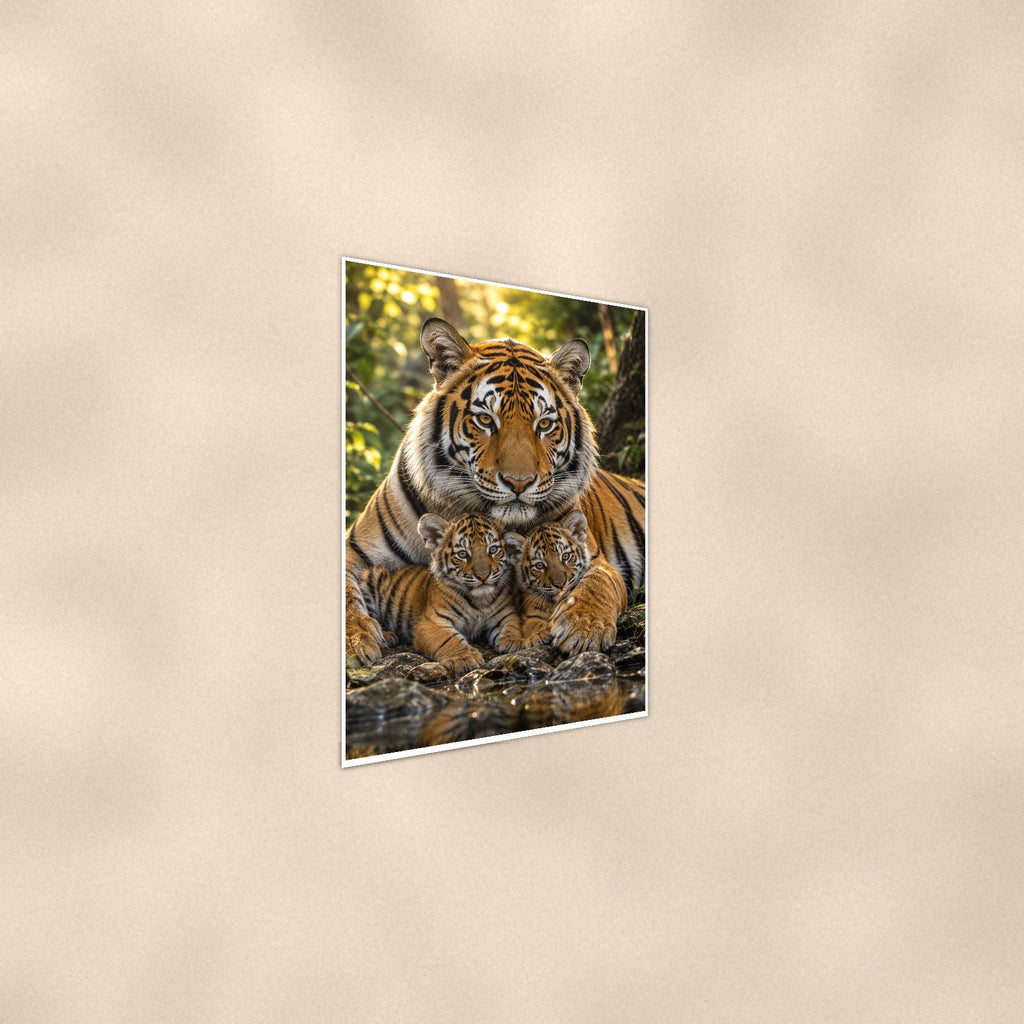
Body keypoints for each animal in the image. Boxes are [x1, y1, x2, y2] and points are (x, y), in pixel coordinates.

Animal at [358, 512, 524, 672]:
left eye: (493, 550)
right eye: (463, 554)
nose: (483, 576)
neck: (479, 600)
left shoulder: (505, 613)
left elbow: (513, 625)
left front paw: (513, 641)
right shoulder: (432, 622)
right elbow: (449, 639)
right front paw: (464, 657)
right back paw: (385, 636)